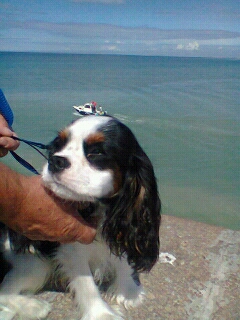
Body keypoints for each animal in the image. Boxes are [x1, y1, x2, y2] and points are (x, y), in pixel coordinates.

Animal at [0, 115, 161, 320]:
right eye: (59, 145)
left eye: (97, 152)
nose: (55, 161)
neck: (99, 207)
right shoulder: (71, 250)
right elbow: (86, 283)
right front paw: (102, 313)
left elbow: (123, 258)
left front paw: (128, 290)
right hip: (35, 264)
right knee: (4, 291)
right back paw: (33, 306)